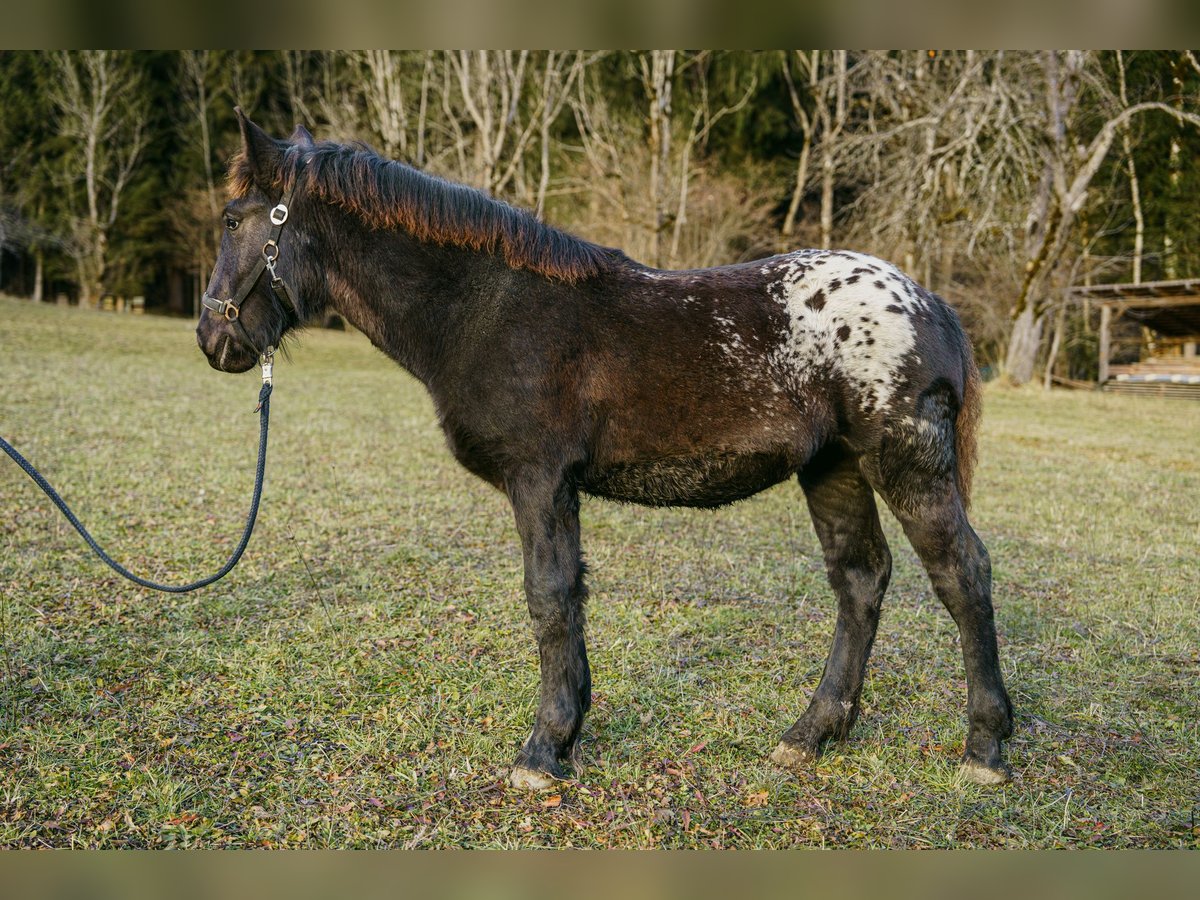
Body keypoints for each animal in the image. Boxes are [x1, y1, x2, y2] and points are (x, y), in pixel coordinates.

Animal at [196, 111, 1012, 787]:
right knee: (860, 581)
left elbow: (550, 597)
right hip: (833, 468)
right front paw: (566, 732)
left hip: (905, 463)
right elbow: (568, 597)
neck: (486, 310)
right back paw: (810, 735)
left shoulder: (538, 479)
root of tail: (931, 305)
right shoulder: (556, 486)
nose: (213, 338)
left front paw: (543, 749)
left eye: (234, 219)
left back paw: (984, 747)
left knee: (961, 575)